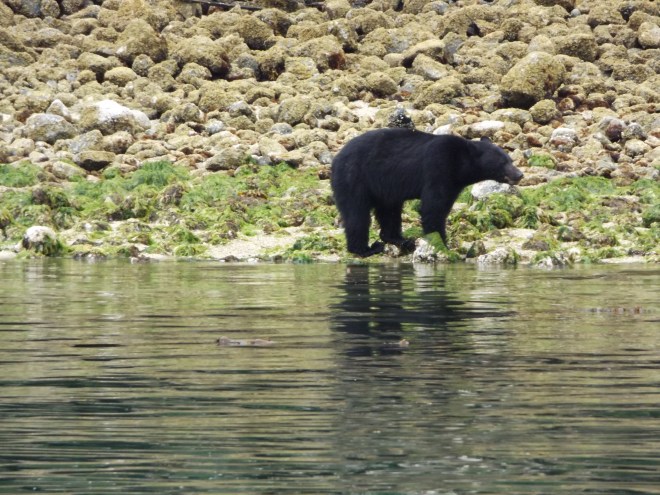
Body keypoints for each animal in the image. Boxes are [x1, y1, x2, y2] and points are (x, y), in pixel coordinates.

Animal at [330, 128, 524, 257]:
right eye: (503, 162)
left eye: (510, 159)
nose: (519, 174)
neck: (460, 163)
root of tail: (336, 158)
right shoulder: (439, 167)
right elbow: (434, 206)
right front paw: (443, 243)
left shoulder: (454, 183)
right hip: (354, 177)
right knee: (357, 214)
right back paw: (365, 249)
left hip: (384, 189)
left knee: (389, 212)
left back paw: (402, 241)